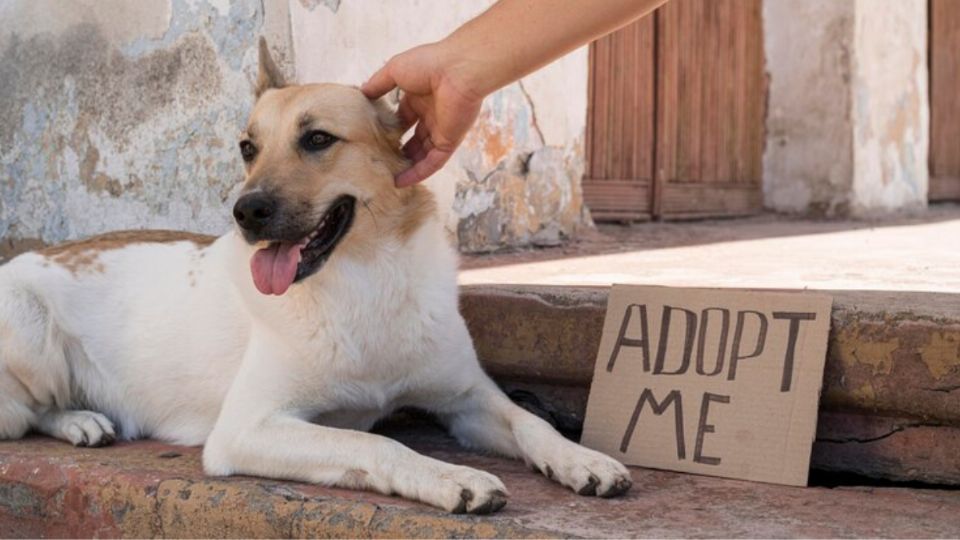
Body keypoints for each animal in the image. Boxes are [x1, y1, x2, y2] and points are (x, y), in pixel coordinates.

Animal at [0, 39, 632, 516]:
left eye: (318, 139)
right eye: (247, 147)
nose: (245, 212)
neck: (365, 281)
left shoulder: (467, 399)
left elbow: (531, 422)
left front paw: (584, 459)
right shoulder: (247, 429)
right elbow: (372, 440)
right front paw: (452, 477)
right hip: (32, 335)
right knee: (23, 415)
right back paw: (80, 419)